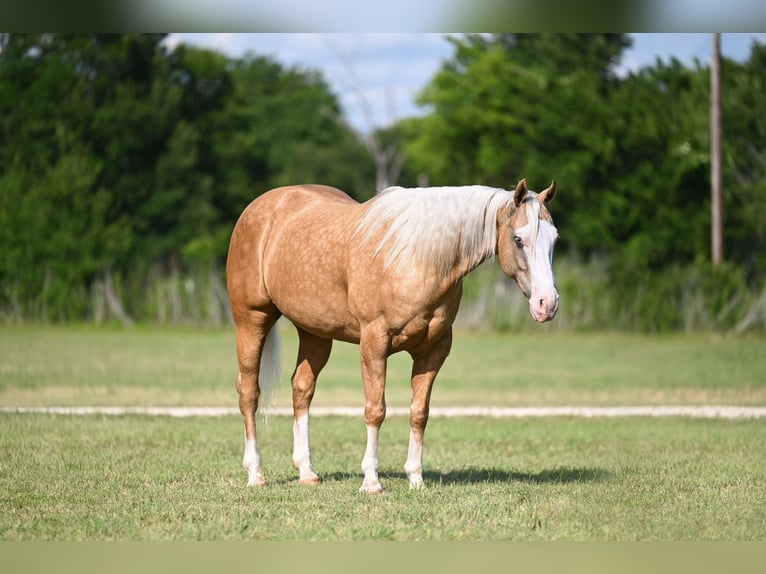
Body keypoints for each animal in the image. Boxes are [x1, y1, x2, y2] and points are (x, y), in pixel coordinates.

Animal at [226, 178, 559, 493]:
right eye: (518, 239)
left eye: (554, 239)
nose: (547, 303)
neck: (416, 258)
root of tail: (261, 207)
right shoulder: (374, 344)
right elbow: (376, 410)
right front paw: (371, 481)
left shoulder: (433, 351)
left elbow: (419, 412)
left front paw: (416, 478)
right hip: (252, 320)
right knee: (249, 392)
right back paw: (255, 473)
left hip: (314, 333)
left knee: (302, 389)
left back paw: (307, 472)